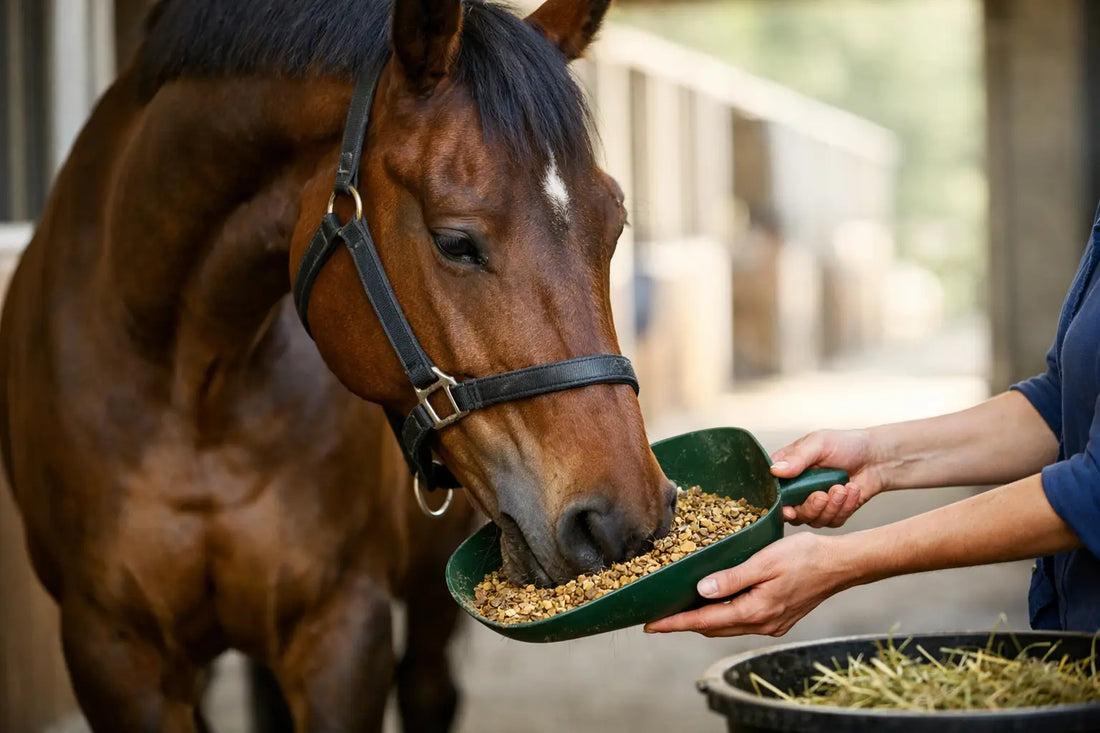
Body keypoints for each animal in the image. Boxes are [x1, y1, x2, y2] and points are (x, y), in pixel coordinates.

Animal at [0, 0, 676, 730]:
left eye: (614, 226)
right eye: (454, 242)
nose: (624, 519)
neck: (192, 384)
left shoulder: (342, 631)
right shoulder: (112, 650)